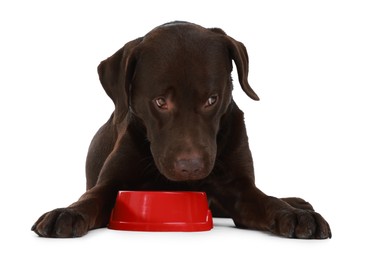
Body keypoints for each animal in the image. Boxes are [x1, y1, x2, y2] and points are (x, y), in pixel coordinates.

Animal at [31, 21, 332, 239]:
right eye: (160, 102)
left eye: (211, 99)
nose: (190, 167)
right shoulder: (112, 183)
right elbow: (91, 198)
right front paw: (67, 212)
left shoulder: (239, 188)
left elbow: (266, 200)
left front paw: (294, 214)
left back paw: (297, 203)